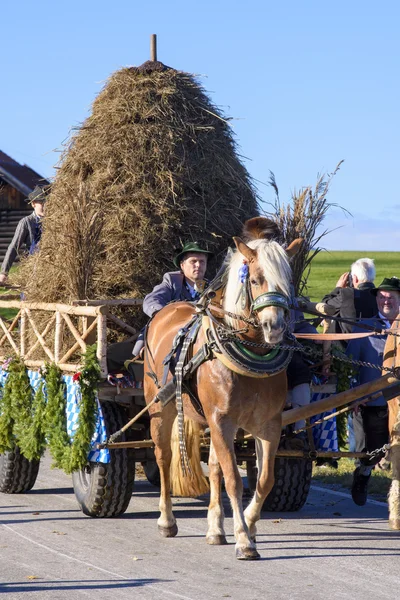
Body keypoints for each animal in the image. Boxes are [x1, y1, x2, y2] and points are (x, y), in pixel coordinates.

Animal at [142, 218, 302, 560]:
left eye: (287, 284)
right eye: (254, 279)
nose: (274, 328)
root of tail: (169, 308)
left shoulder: (268, 425)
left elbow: (264, 480)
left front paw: (250, 527)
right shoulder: (222, 420)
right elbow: (233, 481)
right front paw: (243, 539)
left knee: (213, 467)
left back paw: (215, 528)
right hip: (160, 408)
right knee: (163, 458)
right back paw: (167, 520)